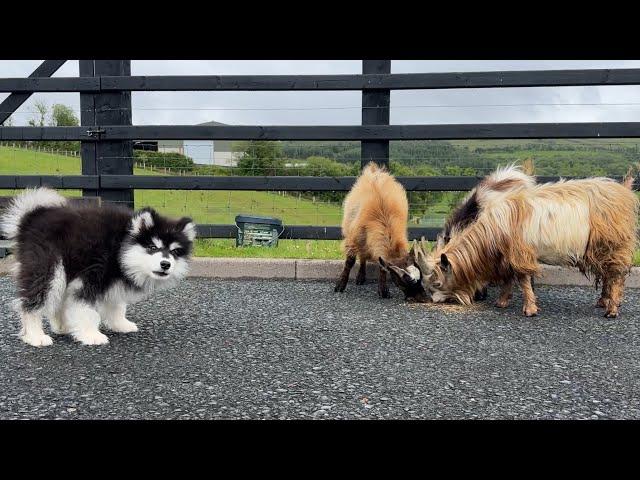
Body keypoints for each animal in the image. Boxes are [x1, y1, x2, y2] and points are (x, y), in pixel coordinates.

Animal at [0, 188, 195, 348]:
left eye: (175, 252)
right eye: (153, 247)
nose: (166, 264)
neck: (120, 247)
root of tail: (32, 217)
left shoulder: (113, 280)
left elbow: (117, 305)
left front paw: (120, 324)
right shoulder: (91, 276)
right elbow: (86, 309)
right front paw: (91, 335)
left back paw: (62, 326)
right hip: (49, 268)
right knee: (33, 302)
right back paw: (35, 336)